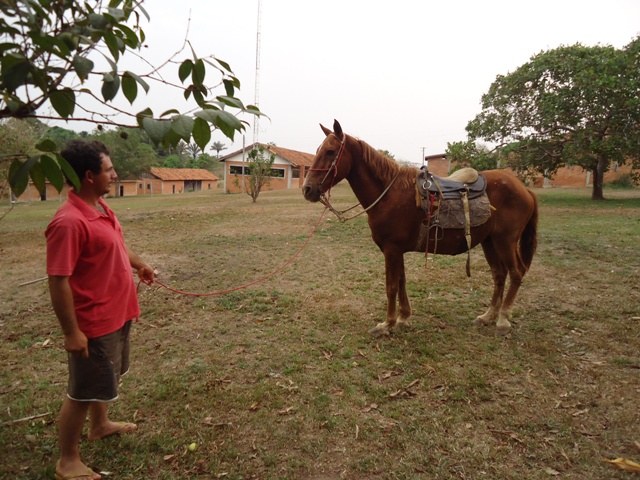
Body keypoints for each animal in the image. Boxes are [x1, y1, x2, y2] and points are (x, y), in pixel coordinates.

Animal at [302, 120, 538, 336]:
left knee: (516, 273)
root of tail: (524, 188)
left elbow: (391, 286)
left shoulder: (391, 250)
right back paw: (488, 316)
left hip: (505, 241)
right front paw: (403, 318)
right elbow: (401, 282)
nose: (307, 189)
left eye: (330, 151)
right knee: (499, 274)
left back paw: (503, 319)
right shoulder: (396, 250)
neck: (389, 195)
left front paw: (387, 324)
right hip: (490, 241)